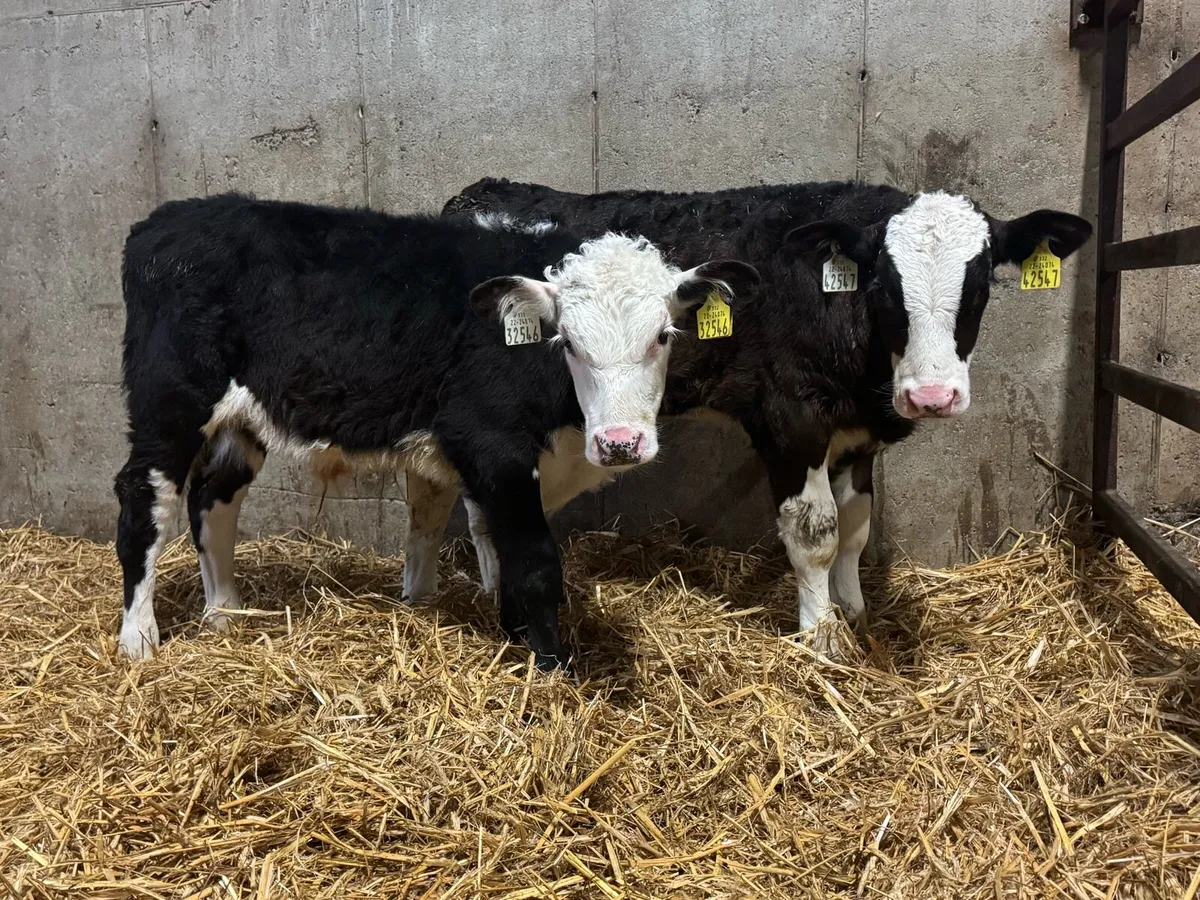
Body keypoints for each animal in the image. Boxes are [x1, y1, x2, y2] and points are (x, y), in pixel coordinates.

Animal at [114, 193, 758, 670]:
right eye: (568, 342)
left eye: (664, 335)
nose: (620, 442)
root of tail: (164, 220)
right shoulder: (491, 442)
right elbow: (535, 562)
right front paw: (554, 669)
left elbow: (493, 549)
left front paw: (511, 633)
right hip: (169, 402)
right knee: (145, 500)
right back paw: (139, 639)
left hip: (242, 417)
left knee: (214, 498)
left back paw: (226, 613)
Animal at [442, 178, 1093, 656]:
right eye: (884, 286)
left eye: (979, 286)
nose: (933, 396)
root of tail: (480, 192)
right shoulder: (792, 421)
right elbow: (816, 532)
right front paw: (821, 635)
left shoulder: (858, 437)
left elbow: (856, 527)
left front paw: (855, 612)